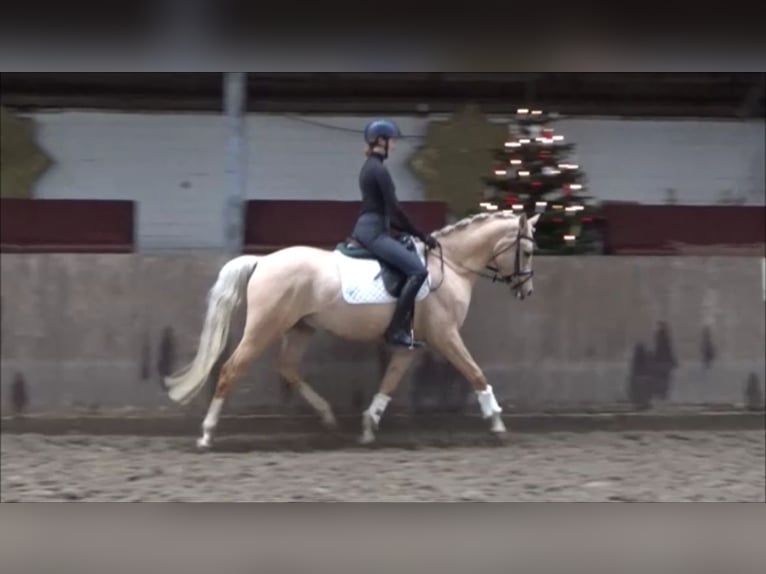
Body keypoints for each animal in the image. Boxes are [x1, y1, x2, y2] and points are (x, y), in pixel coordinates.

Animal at [166, 212, 544, 450]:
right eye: (526, 251)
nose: (526, 292)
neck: (449, 267)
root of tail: (263, 260)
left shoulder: (410, 344)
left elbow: (389, 381)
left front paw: (368, 426)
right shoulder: (445, 335)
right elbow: (475, 373)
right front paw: (497, 423)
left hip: (300, 328)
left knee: (288, 368)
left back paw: (329, 417)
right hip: (264, 327)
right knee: (231, 370)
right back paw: (206, 435)